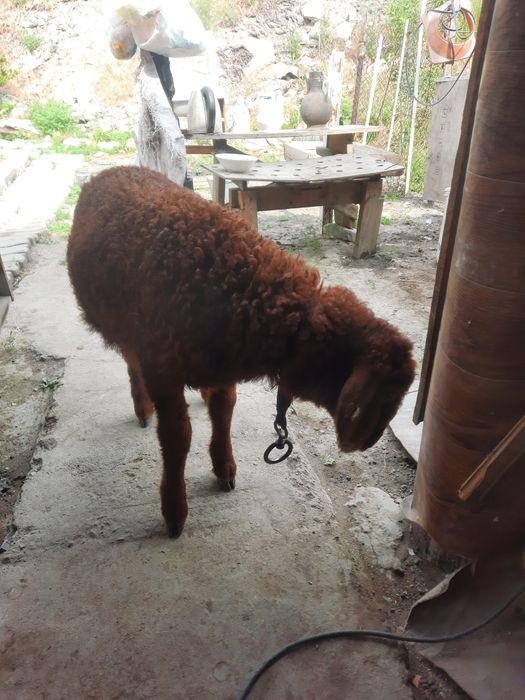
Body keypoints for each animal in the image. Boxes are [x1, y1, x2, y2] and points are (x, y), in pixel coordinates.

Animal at [67, 166, 415, 537]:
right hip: (126, 326)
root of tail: (114, 170)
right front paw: (174, 510)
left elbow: (224, 412)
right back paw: (143, 408)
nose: (370, 442)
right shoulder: (163, 369)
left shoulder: (222, 365)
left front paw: (225, 468)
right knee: (132, 363)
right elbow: (177, 437)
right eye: (384, 395)